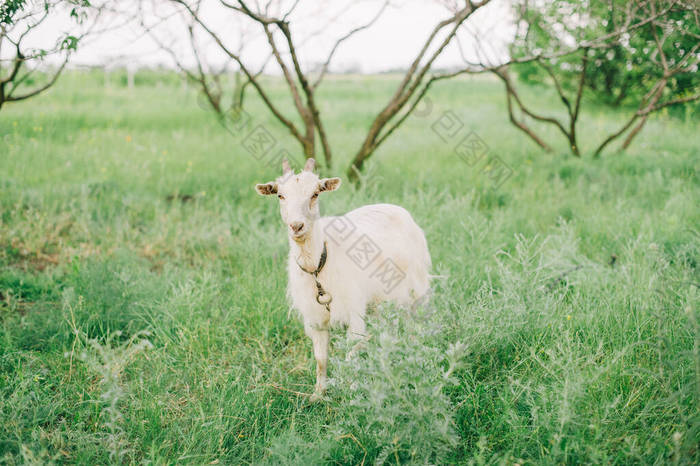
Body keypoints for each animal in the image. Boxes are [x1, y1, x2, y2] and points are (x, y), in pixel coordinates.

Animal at [258, 158, 432, 398]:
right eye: (280, 195)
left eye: (315, 194)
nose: (296, 226)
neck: (319, 266)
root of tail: (396, 208)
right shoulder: (316, 321)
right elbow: (321, 359)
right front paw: (318, 394)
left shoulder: (353, 312)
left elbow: (352, 354)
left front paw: (351, 392)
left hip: (416, 291)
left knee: (415, 327)